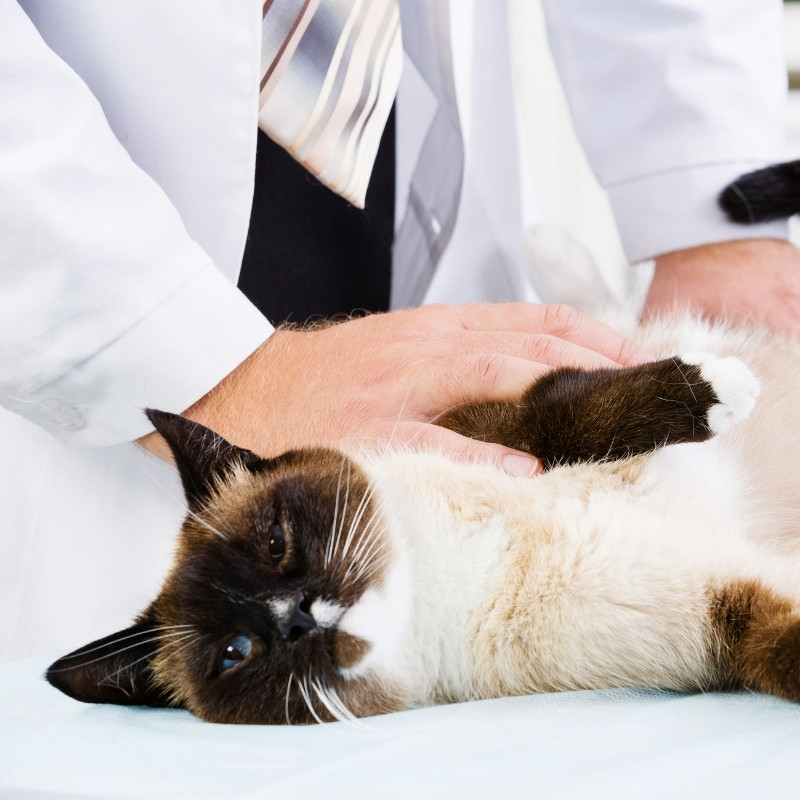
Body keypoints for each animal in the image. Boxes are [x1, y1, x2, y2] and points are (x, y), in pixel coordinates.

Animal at [45, 159, 800, 720]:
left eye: (275, 541)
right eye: (235, 653)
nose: (297, 619)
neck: (451, 575)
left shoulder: (487, 427)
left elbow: (565, 408)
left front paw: (719, 388)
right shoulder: (727, 607)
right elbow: (783, 649)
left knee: (610, 303)